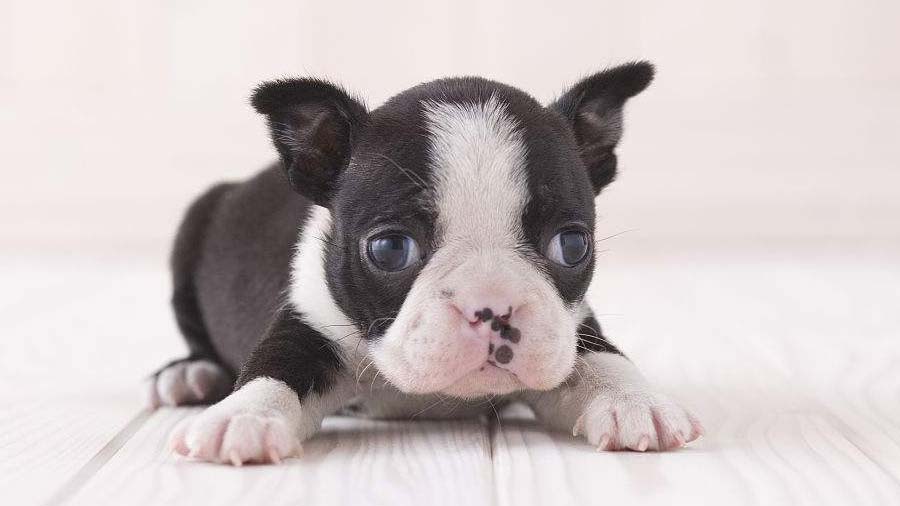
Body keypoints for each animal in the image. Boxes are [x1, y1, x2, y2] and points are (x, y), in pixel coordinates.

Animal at [149, 61, 704, 464]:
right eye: (390, 249)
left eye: (572, 245)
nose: (492, 307)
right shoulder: (309, 319)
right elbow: (275, 367)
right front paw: (243, 417)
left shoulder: (569, 327)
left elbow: (602, 358)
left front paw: (637, 402)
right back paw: (189, 374)